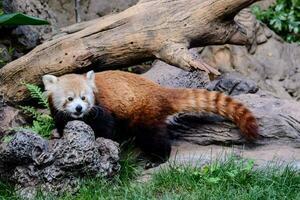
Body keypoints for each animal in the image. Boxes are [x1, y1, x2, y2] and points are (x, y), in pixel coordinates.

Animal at [41, 70, 258, 161]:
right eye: (70, 99)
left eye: (84, 98)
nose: (79, 109)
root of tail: (159, 90)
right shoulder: (59, 114)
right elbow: (61, 122)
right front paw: (60, 135)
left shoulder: (102, 109)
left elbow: (107, 129)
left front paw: (102, 141)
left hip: (144, 113)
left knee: (154, 137)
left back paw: (158, 158)